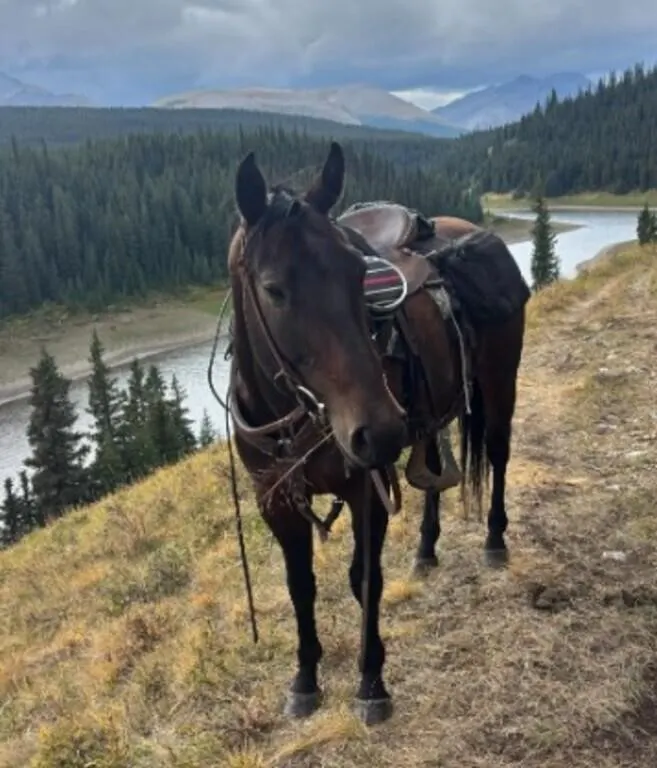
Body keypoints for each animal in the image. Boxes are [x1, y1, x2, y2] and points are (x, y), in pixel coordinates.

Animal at [225, 141, 528, 726]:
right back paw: (427, 548)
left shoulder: (367, 488)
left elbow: (363, 578)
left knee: (499, 455)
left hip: (499, 383)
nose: (380, 431)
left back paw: (495, 540)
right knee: (434, 473)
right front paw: (305, 679)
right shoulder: (274, 500)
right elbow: (301, 586)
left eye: (358, 276)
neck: (293, 413)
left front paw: (371, 681)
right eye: (274, 289)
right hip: (435, 412)